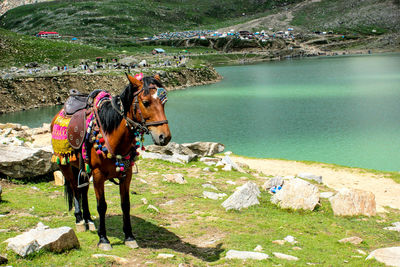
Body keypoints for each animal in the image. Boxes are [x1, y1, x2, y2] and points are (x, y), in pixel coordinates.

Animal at [50, 74, 170, 251]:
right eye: (146, 102)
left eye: (164, 102)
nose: (164, 137)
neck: (112, 134)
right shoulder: (98, 175)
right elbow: (102, 206)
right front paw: (104, 239)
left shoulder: (126, 174)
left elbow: (125, 204)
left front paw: (129, 237)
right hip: (64, 164)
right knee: (75, 189)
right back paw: (80, 220)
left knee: (83, 190)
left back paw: (89, 221)